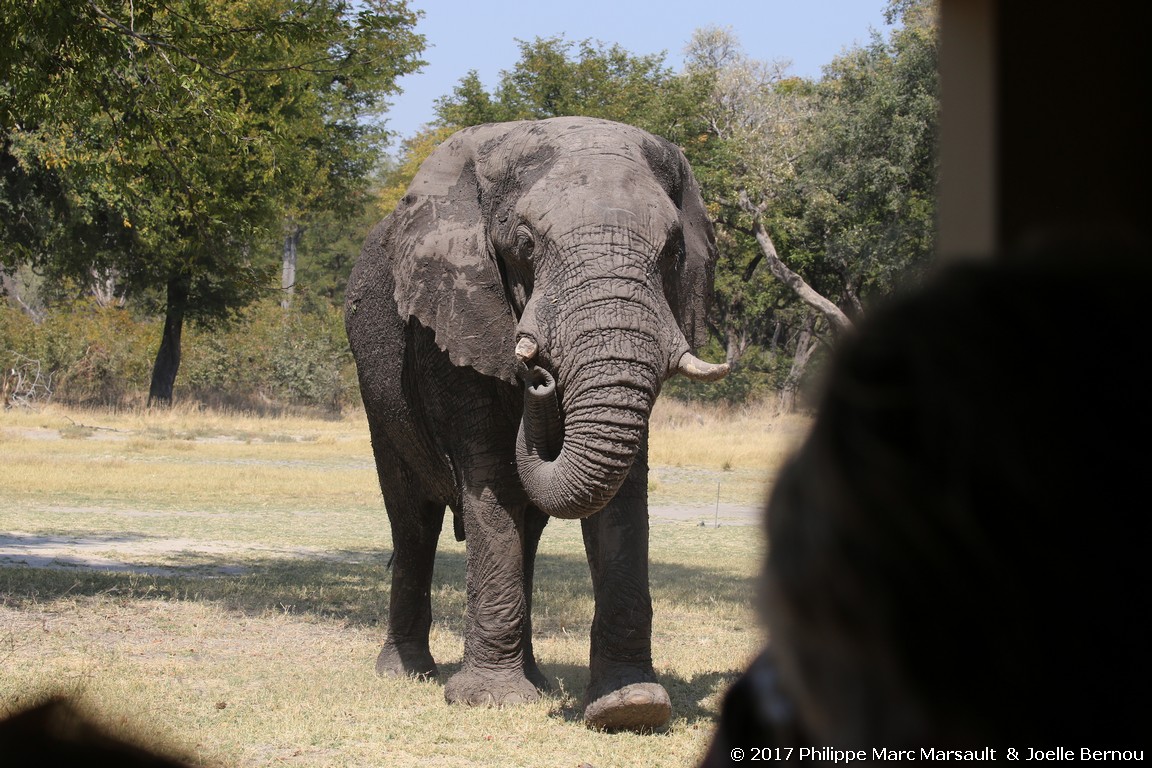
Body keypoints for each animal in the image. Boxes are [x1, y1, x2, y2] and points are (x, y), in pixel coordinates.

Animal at [343, 115, 728, 732]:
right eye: (525, 244)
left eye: (673, 250)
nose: (540, 380)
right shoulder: (451, 320)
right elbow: (491, 477)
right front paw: (490, 702)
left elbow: (621, 498)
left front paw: (631, 707)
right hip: (378, 396)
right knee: (413, 521)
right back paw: (408, 673)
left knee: (526, 527)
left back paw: (538, 681)